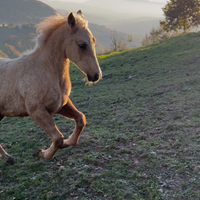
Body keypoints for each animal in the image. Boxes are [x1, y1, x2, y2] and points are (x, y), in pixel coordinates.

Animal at [0, 10, 101, 164]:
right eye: (82, 45)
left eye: (94, 41)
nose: (96, 75)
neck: (45, 70)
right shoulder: (37, 111)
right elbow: (58, 138)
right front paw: (40, 153)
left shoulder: (61, 105)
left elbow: (80, 120)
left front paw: (67, 143)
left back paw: (8, 158)